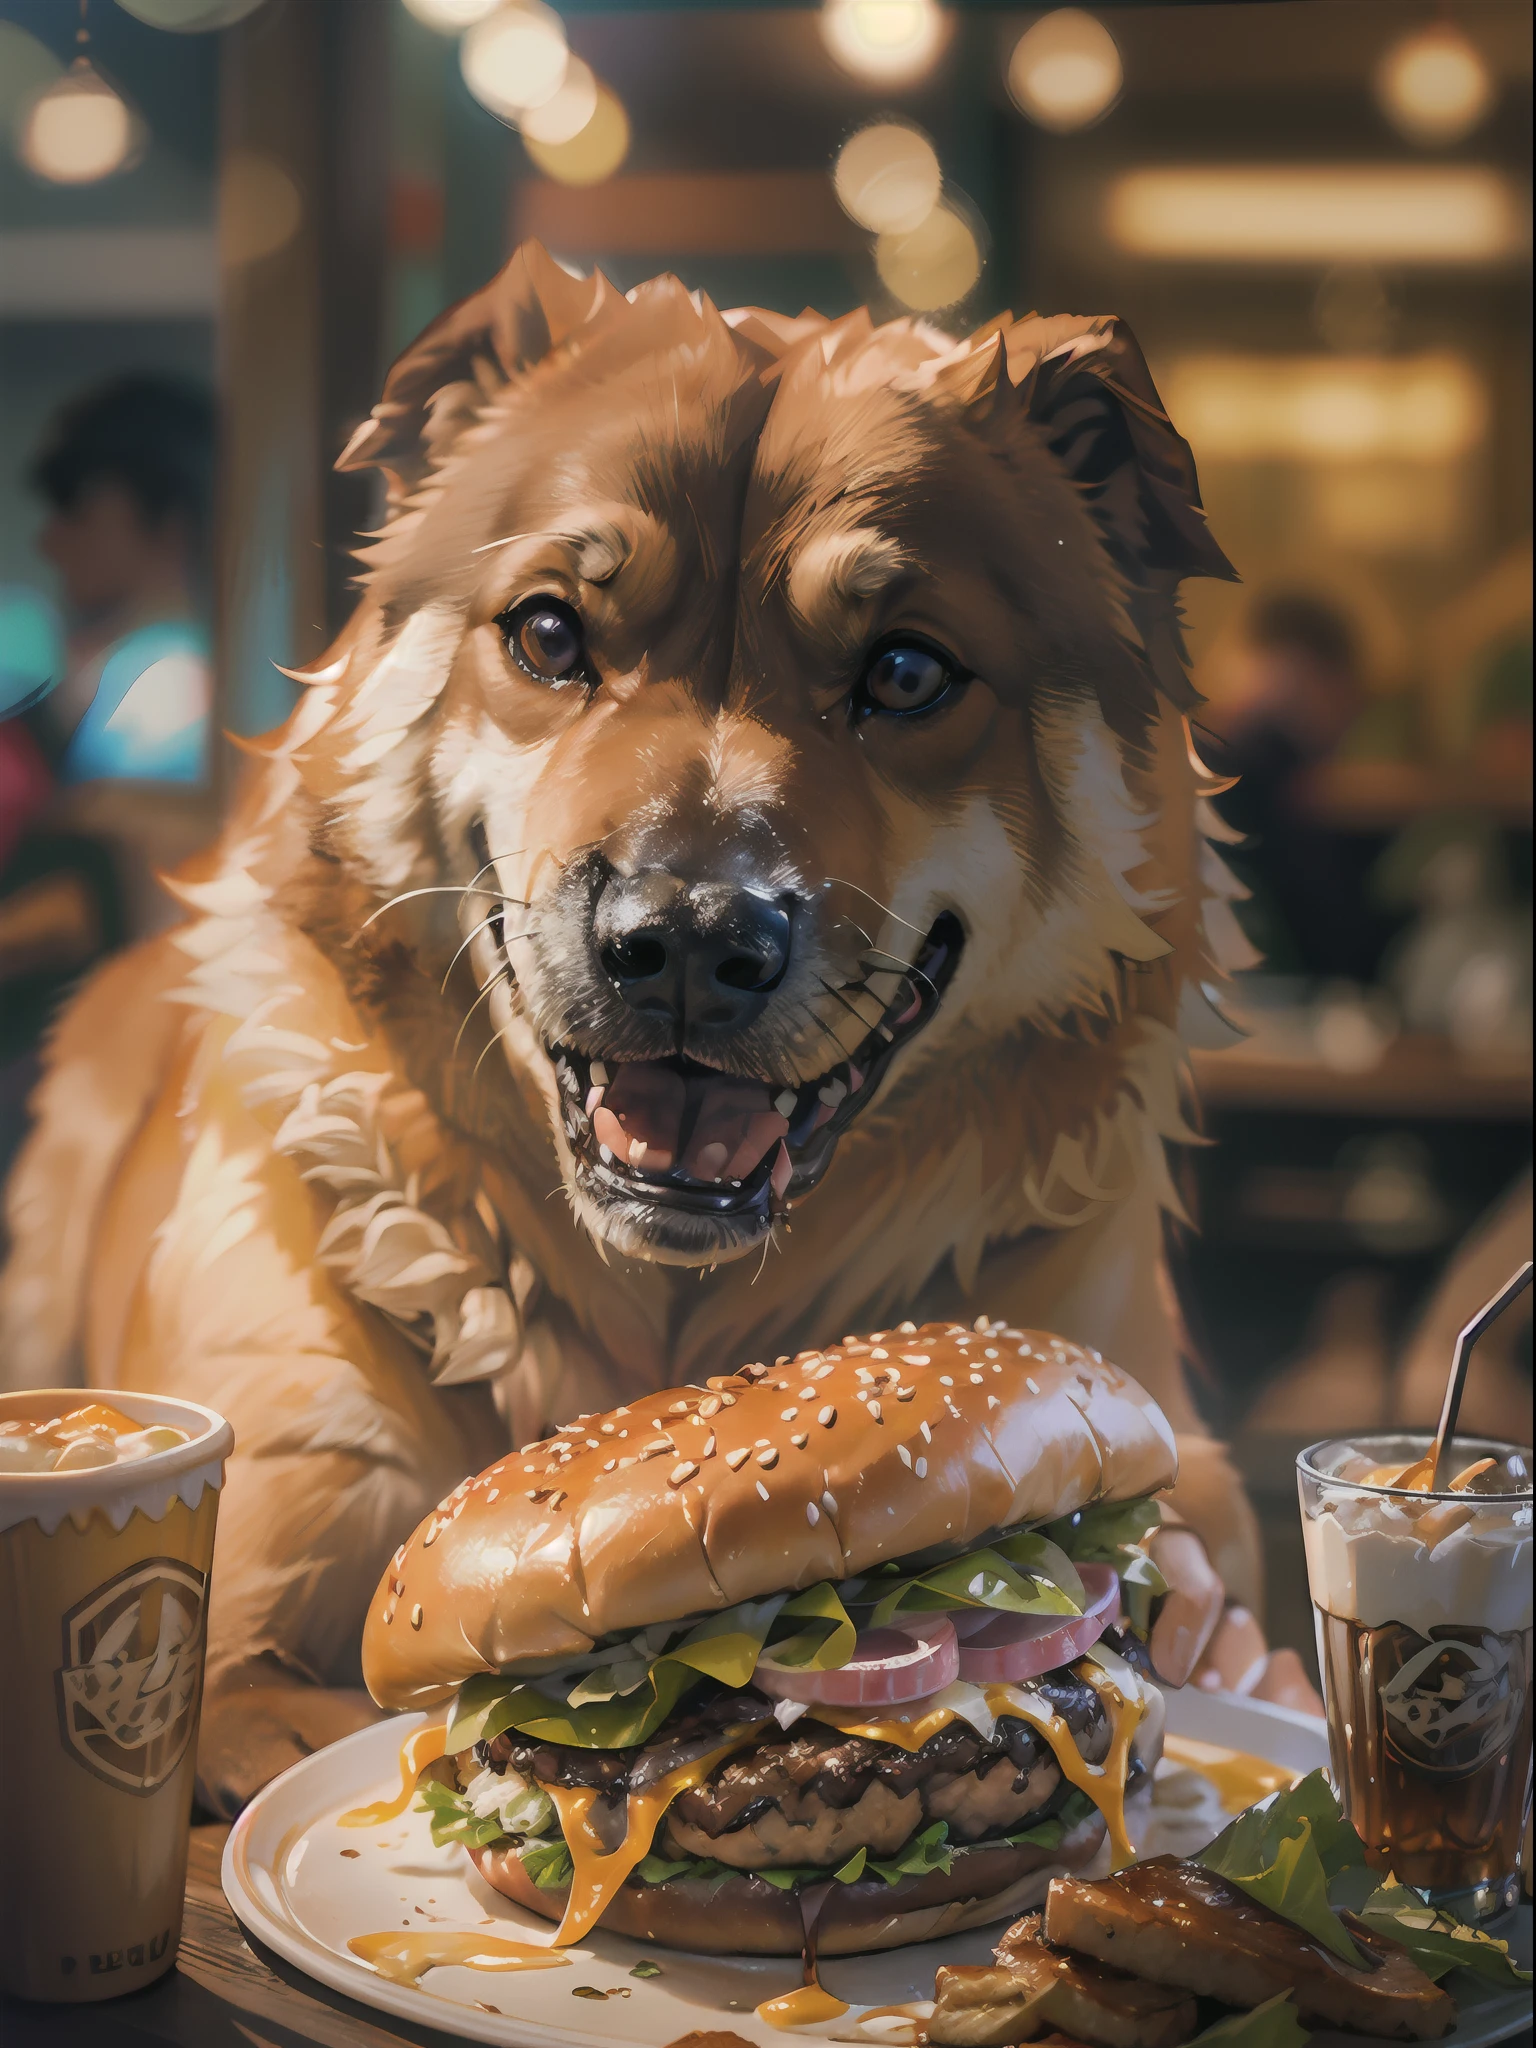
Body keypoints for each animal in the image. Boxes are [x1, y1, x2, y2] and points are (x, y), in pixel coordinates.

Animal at [0, 243, 1277, 1810]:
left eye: (908, 672)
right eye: (551, 633)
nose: (684, 942)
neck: (662, 1316)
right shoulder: (260, 1581)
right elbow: (251, 1682)